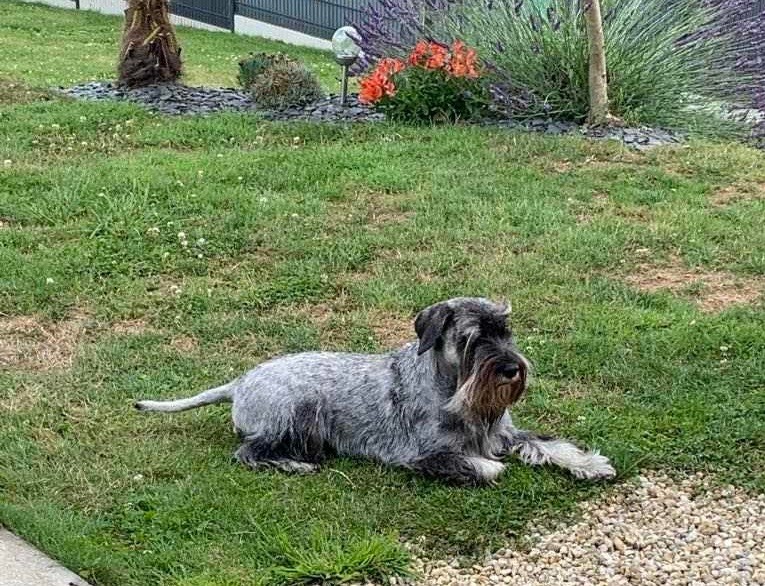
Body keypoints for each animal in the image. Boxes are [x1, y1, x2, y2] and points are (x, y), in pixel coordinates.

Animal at [136, 296, 616, 484]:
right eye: (472, 339)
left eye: (506, 331)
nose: (512, 369)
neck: (450, 389)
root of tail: (239, 383)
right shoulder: (422, 454)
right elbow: (476, 464)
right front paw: (490, 467)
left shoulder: (505, 432)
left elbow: (550, 443)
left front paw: (591, 464)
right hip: (295, 411)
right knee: (249, 452)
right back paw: (294, 464)